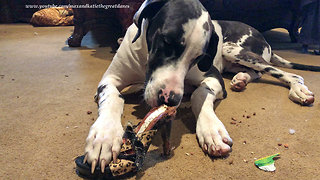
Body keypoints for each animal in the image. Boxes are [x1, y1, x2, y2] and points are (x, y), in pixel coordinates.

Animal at [83, 0, 320, 172]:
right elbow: (112, 98)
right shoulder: (110, 79)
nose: (171, 100)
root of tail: (263, 37)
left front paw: (211, 130)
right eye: (166, 41)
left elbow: (199, 94)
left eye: (198, 57)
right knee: (257, 73)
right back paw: (241, 79)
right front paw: (104, 137)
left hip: (234, 50)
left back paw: (298, 90)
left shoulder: (213, 77)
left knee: (288, 74)